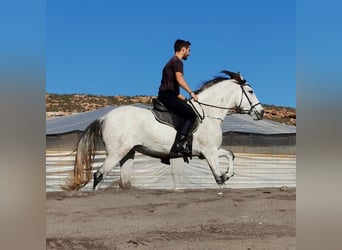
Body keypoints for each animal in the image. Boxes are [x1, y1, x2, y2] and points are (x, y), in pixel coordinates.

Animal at [65, 71, 264, 191]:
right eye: (250, 91)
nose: (261, 112)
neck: (208, 114)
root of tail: (104, 118)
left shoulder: (210, 151)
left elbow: (230, 154)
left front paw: (229, 174)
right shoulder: (209, 153)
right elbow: (218, 178)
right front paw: (225, 179)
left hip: (128, 153)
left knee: (123, 181)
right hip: (116, 153)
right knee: (99, 175)